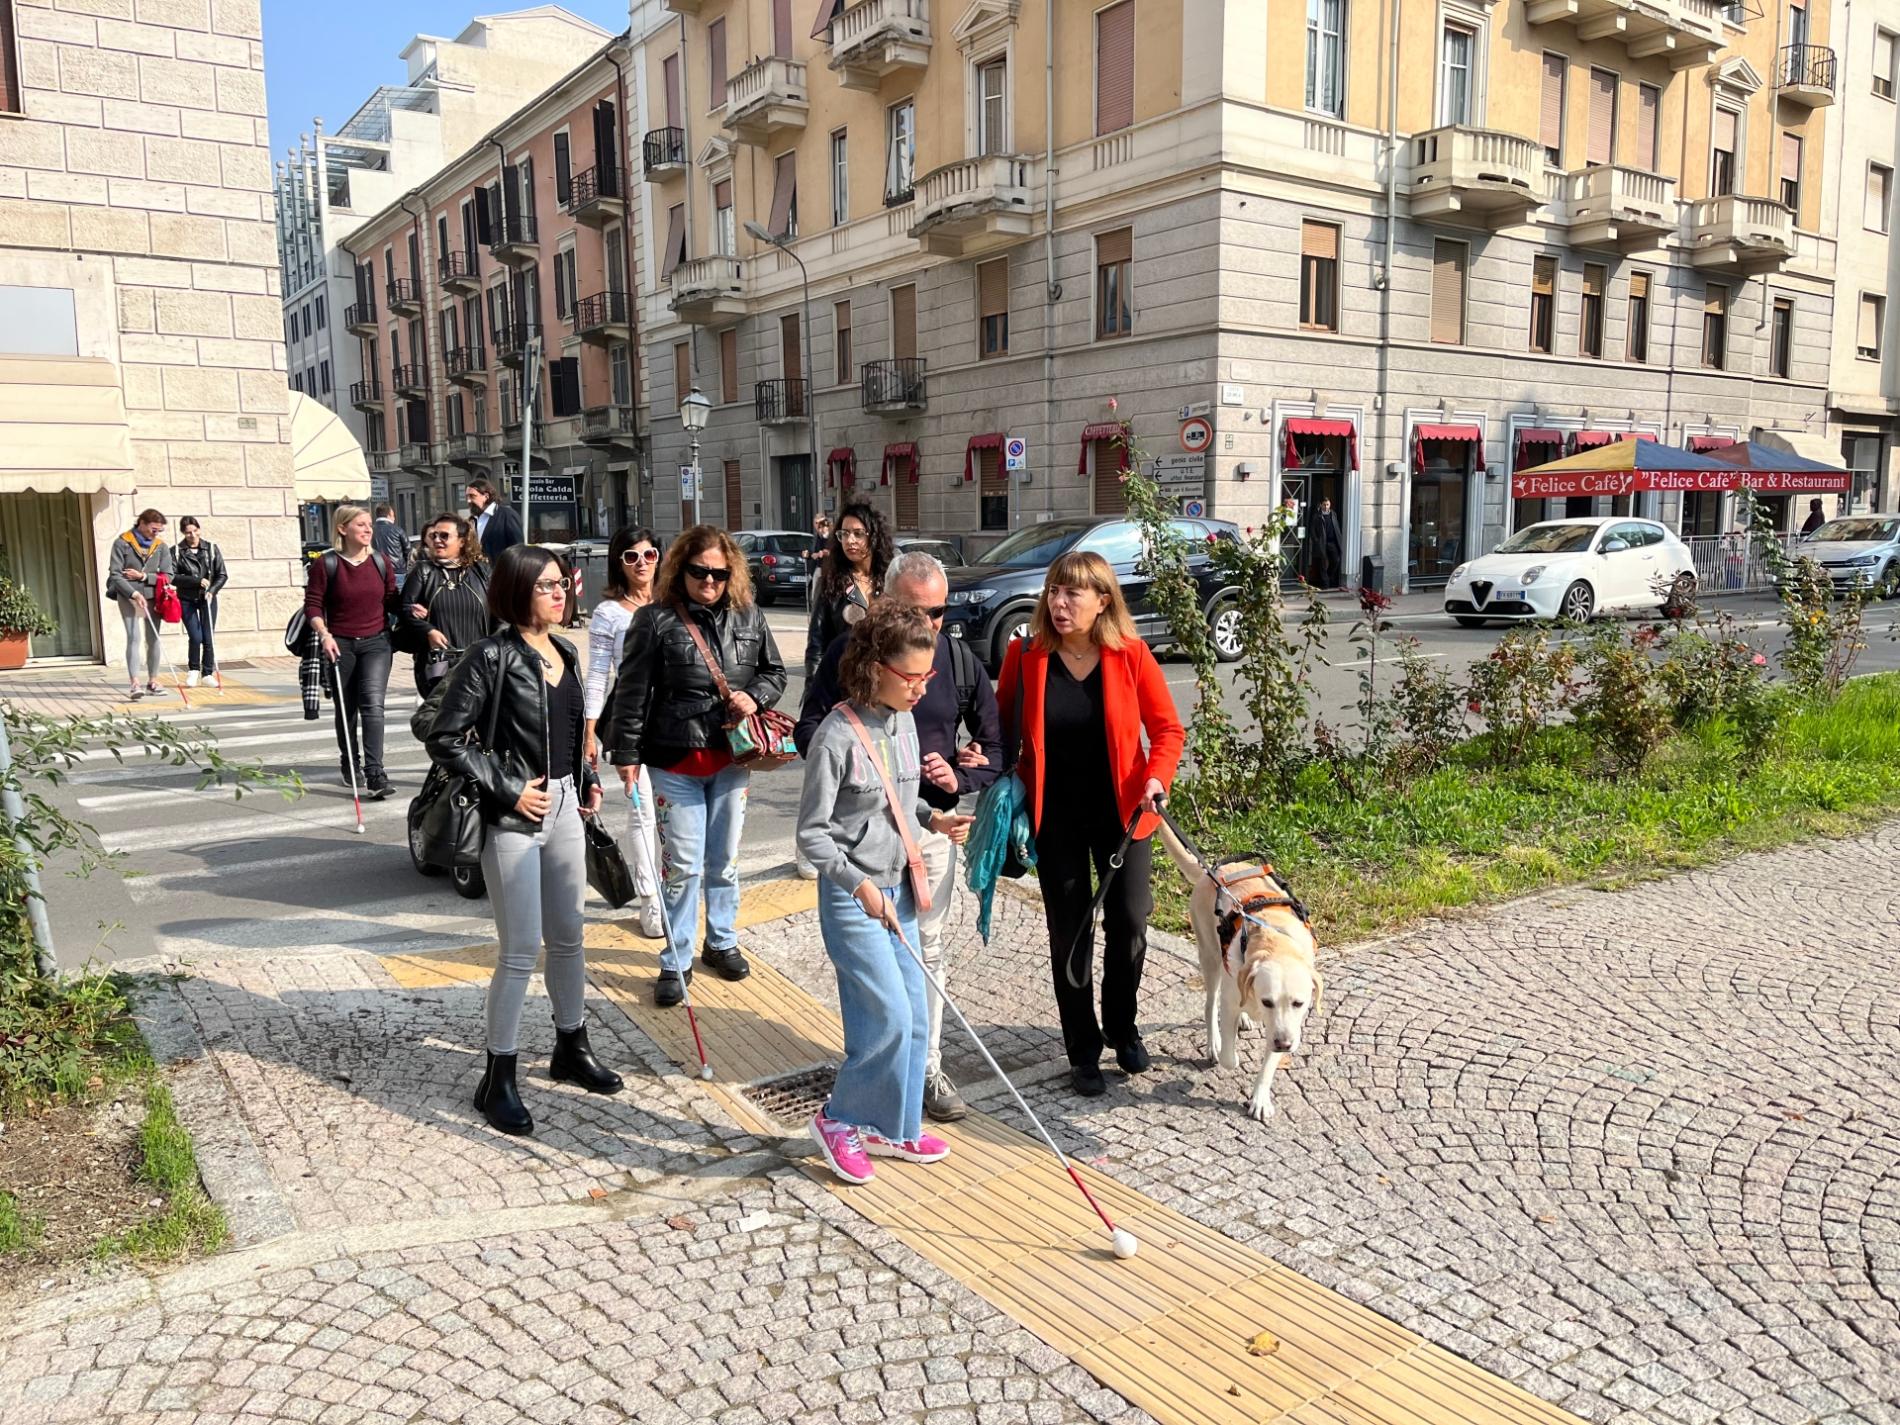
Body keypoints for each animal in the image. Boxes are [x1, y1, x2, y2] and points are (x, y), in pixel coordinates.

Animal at [1155, 820, 1322, 1124]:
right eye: (1267, 1001)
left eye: (1299, 1003)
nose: (1284, 1044)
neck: (1274, 940)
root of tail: (1210, 872)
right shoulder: (1236, 1001)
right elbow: (1229, 1057)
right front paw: (1225, 1052)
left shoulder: (1284, 1025)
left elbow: (1268, 1065)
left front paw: (1260, 1100)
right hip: (1210, 957)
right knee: (1211, 1004)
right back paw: (1214, 1041)